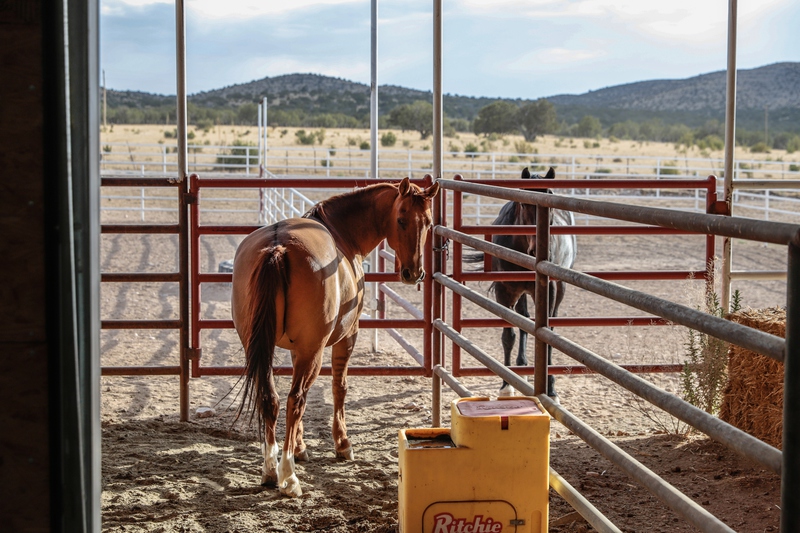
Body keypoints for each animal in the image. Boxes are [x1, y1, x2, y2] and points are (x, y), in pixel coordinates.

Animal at [231, 178, 440, 494]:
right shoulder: (346, 337)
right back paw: (288, 476)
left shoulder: (297, 348)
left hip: (261, 348)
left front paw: (301, 447)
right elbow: (339, 388)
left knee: (272, 398)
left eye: (427, 222)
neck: (344, 233)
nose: (412, 272)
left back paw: (269, 470)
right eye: (401, 219)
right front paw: (342, 444)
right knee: (295, 400)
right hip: (313, 352)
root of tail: (277, 247)